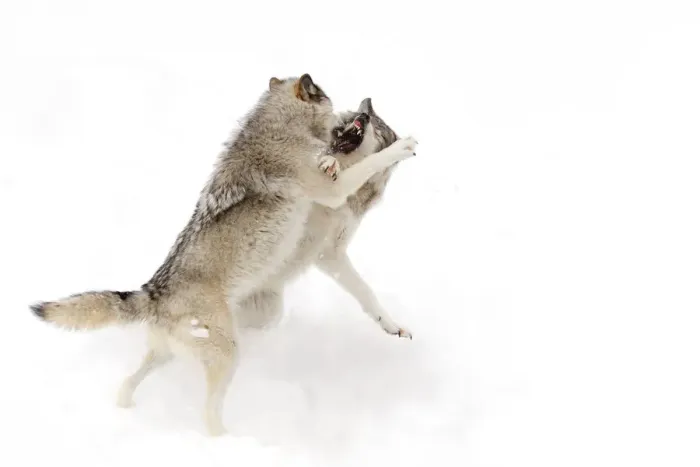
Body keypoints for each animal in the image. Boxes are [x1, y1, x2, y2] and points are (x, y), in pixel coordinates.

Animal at [237, 97, 413, 339]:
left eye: (377, 130)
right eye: (352, 117)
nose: (363, 116)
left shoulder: (330, 254)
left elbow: (365, 290)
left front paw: (390, 324)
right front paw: (330, 162)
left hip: (269, 313)